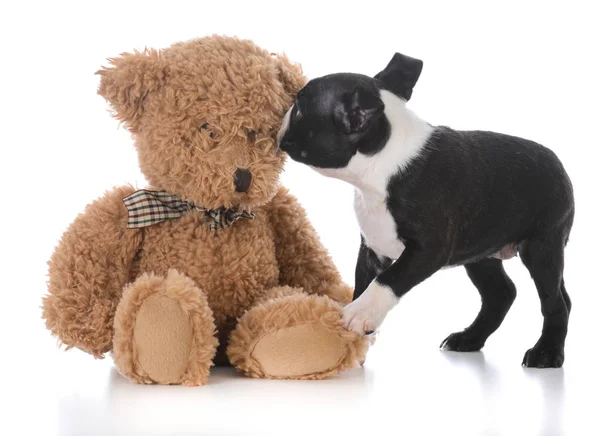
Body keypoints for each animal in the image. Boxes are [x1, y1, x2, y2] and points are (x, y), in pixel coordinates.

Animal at [278, 52, 576, 368]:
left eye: (299, 107)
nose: (283, 111)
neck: (381, 168)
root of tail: (559, 164)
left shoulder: (428, 250)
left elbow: (387, 280)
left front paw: (361, 314)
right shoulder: (371, 248)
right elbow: (363, 284)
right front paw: (355, 343)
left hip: (542, 247)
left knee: (555, 302)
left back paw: (546, 353)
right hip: (480, 253)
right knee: (501, 293)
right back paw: (469, 339)